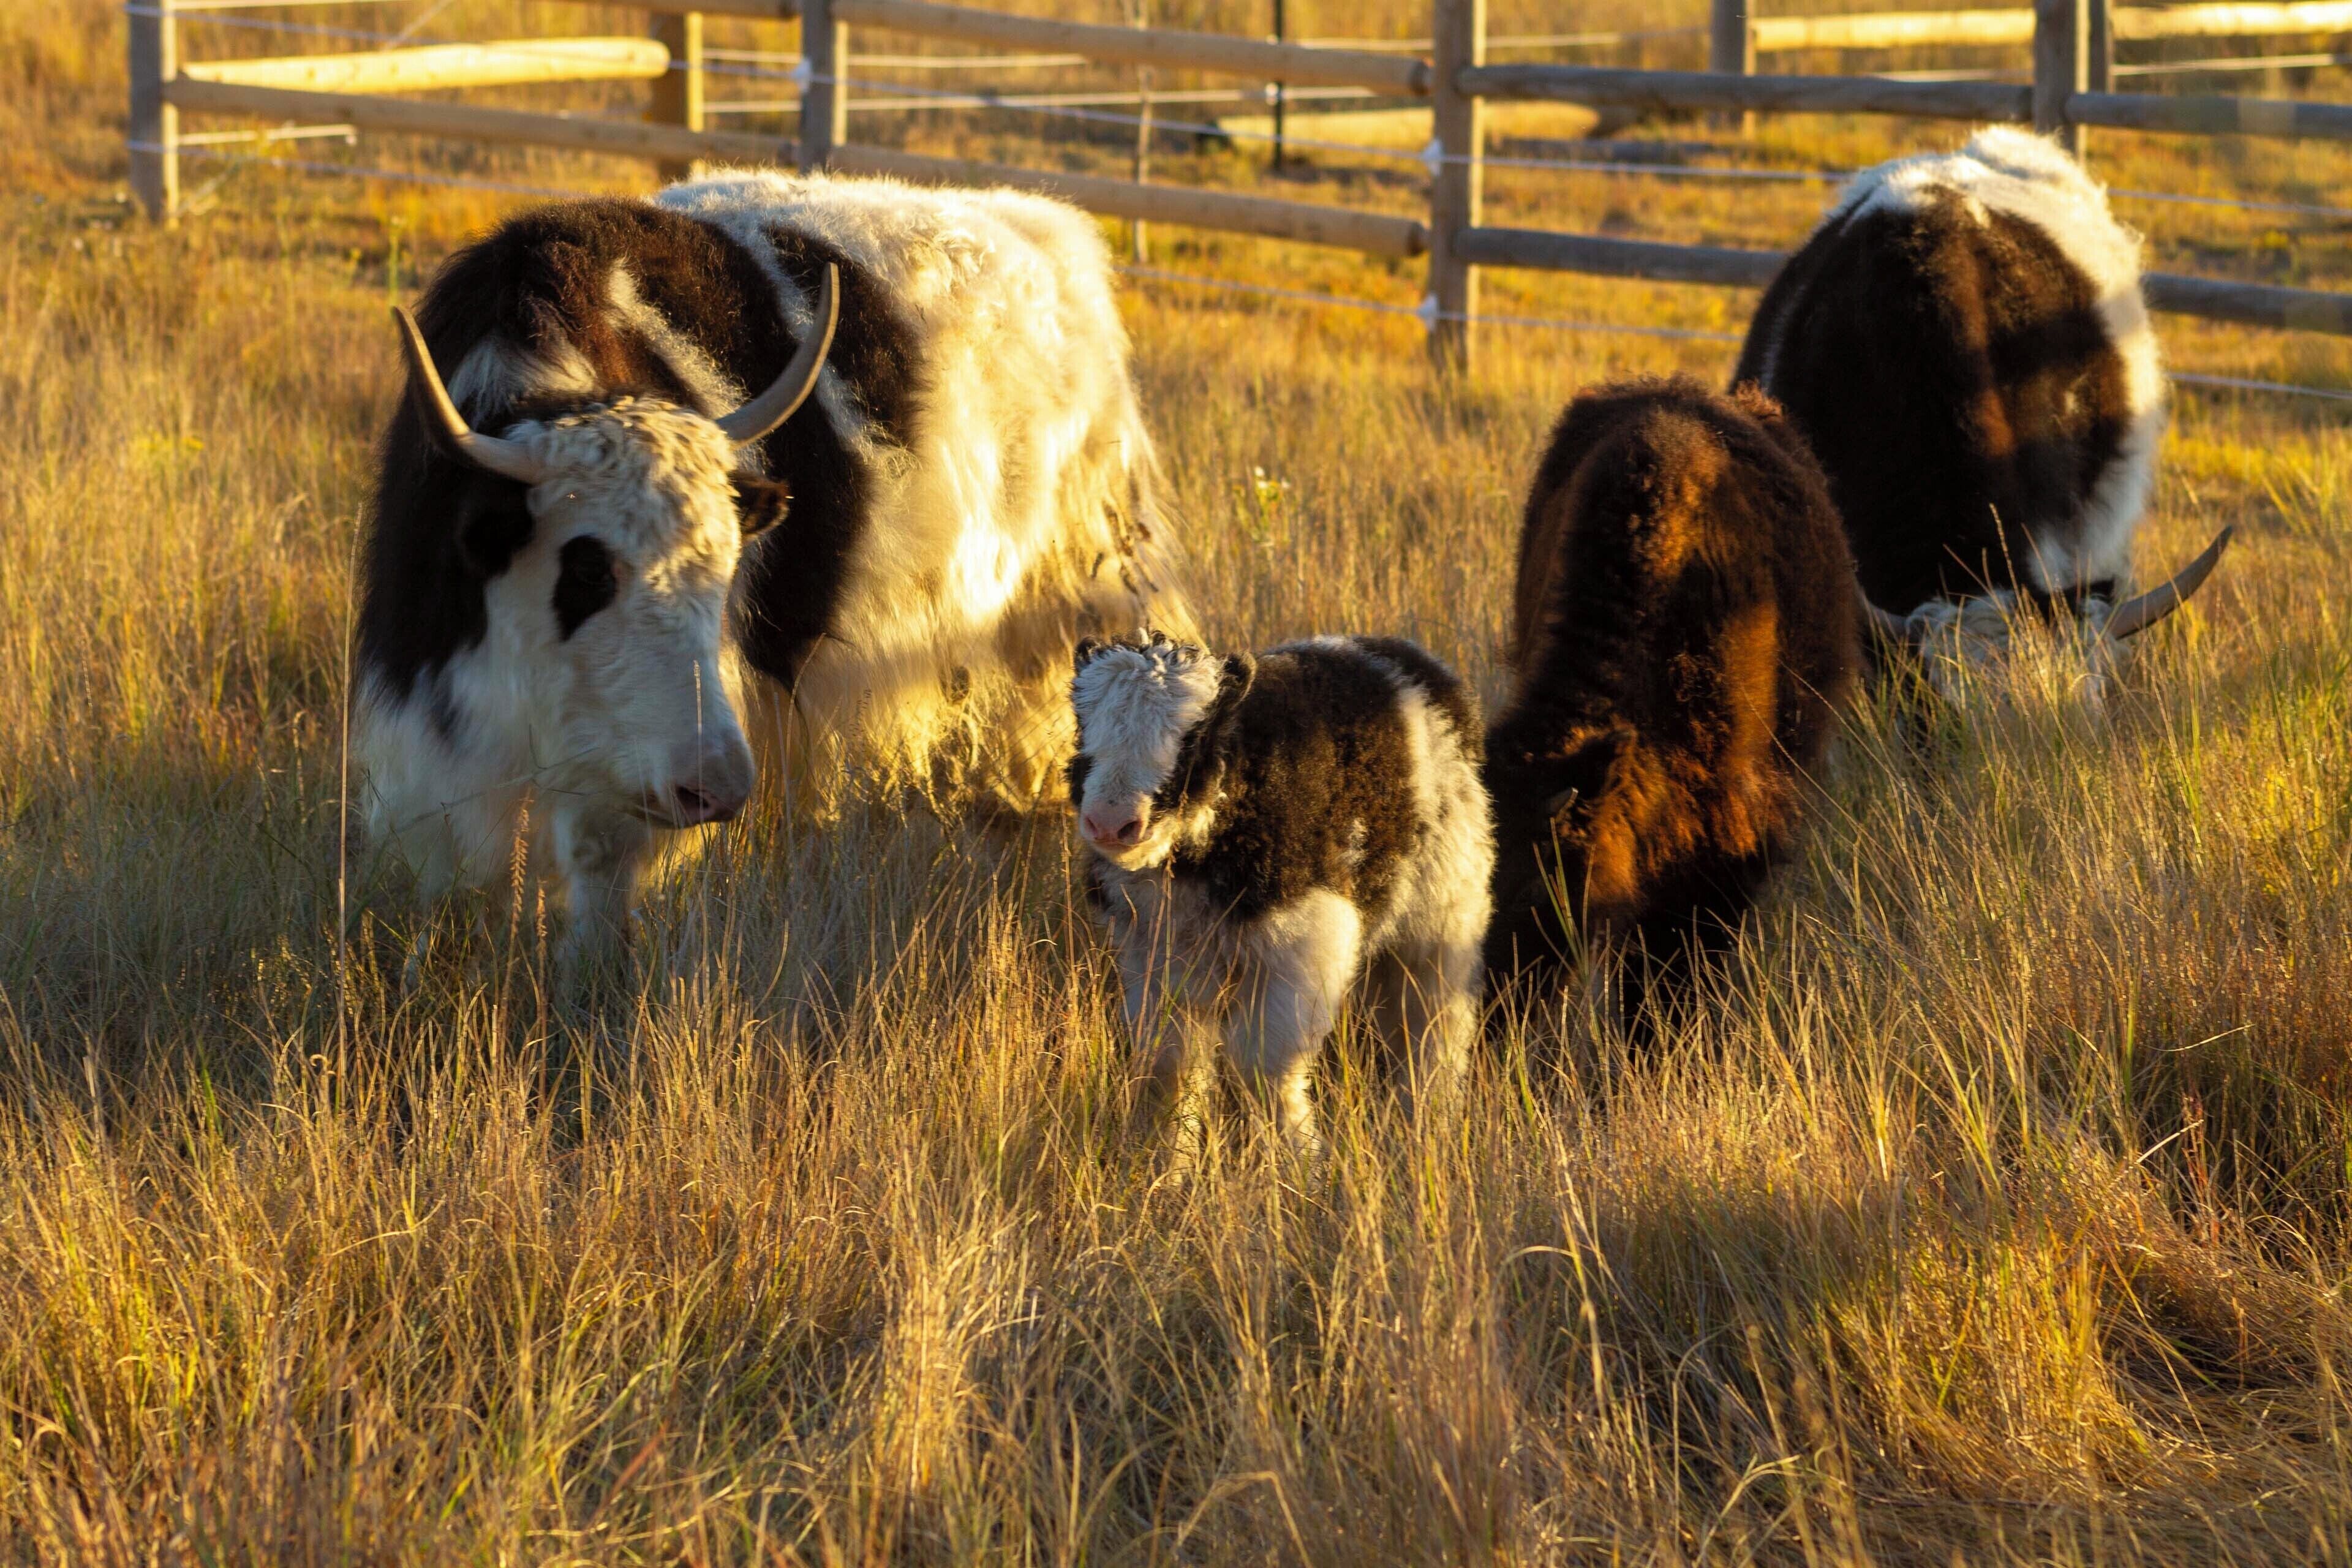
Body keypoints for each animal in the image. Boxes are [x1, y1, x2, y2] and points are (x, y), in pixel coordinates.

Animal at [357, 169, 1186, 956]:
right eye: (589, 569)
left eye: (728, 564)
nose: (717, 789)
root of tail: (1050, 229)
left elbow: (598, 874)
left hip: (1068, 611)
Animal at [1068, 632, 1493, 1155]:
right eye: (1081, 727)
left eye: (1194, 737)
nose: (1111, 823)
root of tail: (1400, 655)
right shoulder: (1156, 958)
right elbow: (1169, 1069)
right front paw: (1162, 1166)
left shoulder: (1305, 947)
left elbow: (1265, 1069)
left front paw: (1299, 1165)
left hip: (1443, 920)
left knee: (1434, 1031)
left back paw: (1426, 1129)